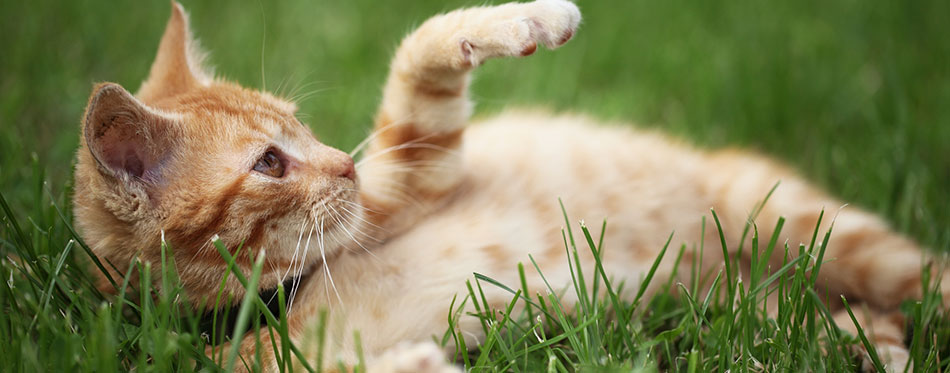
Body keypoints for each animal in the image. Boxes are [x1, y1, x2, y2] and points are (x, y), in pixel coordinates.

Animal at [74, 1, 950, 370]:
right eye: (268, 163)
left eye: (303, 127)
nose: (348, 163)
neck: (283, 295)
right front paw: (420, 367)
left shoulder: (415, 171)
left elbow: (420, 56)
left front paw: (528, 19)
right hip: (745, 300)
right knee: (822, 317)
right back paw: (874, 344)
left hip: (801, 224)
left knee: (921, 276)